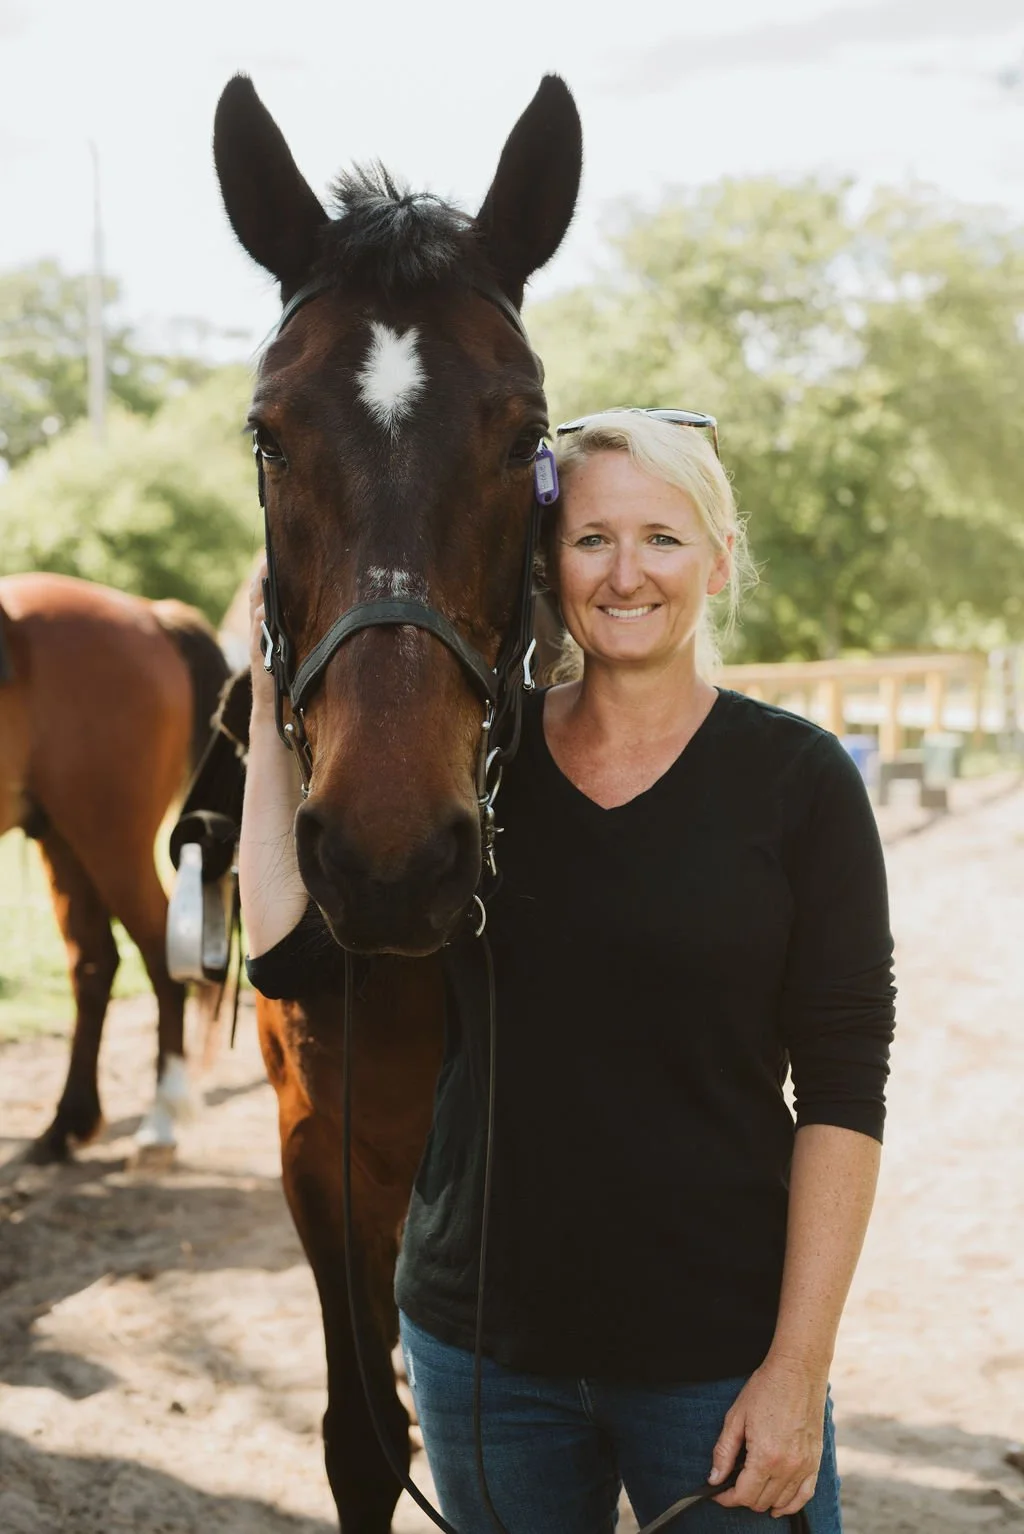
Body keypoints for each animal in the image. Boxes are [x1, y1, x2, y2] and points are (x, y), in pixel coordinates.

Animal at [0, 572, 228, 1162]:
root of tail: (148, 615)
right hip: (63, 838)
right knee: (95, 962)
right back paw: (65, 1124)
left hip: (111, 838)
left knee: (159, 954)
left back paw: (160, 1119)